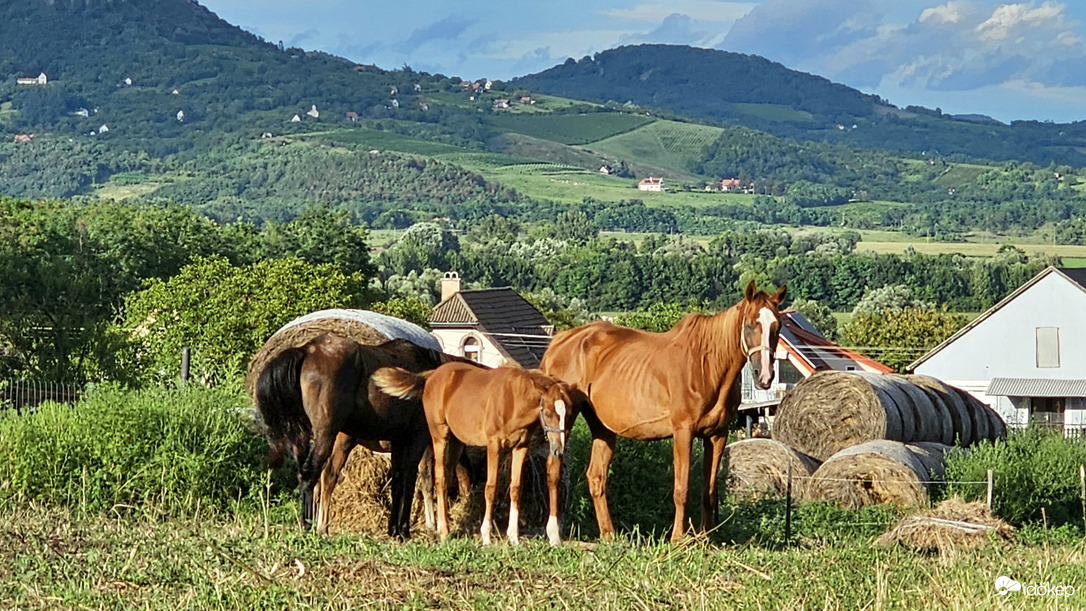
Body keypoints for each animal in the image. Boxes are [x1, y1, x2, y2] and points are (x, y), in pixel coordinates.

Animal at [256, 332, 473, 538]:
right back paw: (308, 526)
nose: (467, 492)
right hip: (327, 434)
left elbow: (398, 482)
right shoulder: (417, 440)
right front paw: (405, 529)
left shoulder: (399, 442)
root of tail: (307, 349)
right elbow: (413, 481)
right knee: (312, 474)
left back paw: (321, 527)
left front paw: (394, 530)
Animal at [373, 366, 573, 546]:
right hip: (439, 436)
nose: (558, 449)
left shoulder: (521, 447)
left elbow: (516, 487)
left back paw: (443, 527)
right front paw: (486, 537)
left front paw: (514, 538)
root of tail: (432, 375)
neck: (513, 400)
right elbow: (491, 488)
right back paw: (443, 531)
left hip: (456, 443)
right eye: (547, 413)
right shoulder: (494, 445)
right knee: (440, 478)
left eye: (568, 414)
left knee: (446, 475)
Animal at [540, 279, 781, 540]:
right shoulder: (683, 432)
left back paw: (609, 535)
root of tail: (559, 342)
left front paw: (706, 539)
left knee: (596, 476)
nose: (765, 376)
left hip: (602, 427)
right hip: (563, 418)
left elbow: (708, 491)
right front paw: (678, 538)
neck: (706, 365)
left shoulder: (717, 435)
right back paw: (554, 534)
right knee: (553, 470)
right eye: (750, 324)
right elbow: (681, 489)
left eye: (777, 326)